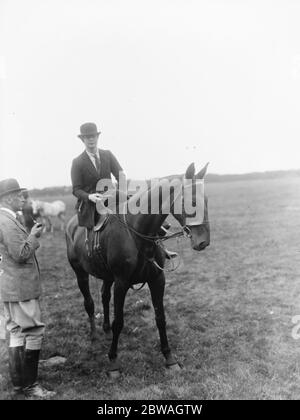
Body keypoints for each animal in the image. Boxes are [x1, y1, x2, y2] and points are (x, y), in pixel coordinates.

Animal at [65, 162, 211, 378]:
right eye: (190, 201)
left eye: (206, 199)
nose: (203, 242)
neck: (138, 233)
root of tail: (71, 224)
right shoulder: (121, 283)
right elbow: (119, 322)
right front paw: (113, 362)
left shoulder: (157, 279)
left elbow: (160, 318)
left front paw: (169, 358)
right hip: (80, 273)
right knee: (89, 303)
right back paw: (94, 335)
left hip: (107, 276)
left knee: (104, 296)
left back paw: (105, 328)